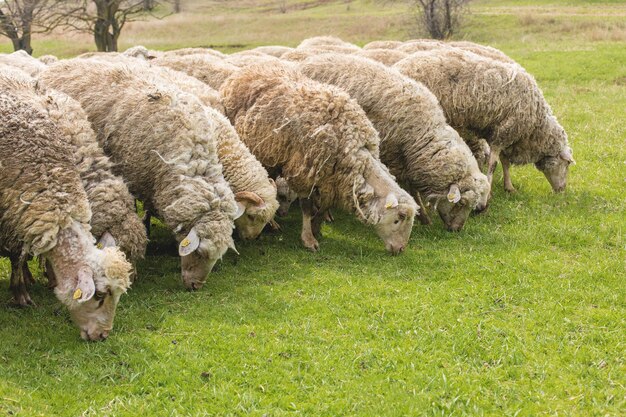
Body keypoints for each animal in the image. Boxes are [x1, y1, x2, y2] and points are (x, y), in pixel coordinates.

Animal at [0, 69, 132, 342]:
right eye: (100, 295)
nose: (102, 336)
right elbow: (17, 257)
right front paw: (20, 295)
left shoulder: (20, 216)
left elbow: (21, 255)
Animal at [217, 63, 416, 254]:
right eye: (399, 219)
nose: (400, 249)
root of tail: (244, 71)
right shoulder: (305, 174)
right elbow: (306, 207)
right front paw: (308, 239)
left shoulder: (332, 181)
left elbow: (324, 206)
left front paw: (317, 228)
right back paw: (272, 223)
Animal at [294, 53, 490, 229]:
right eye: (461, 203)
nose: (456, 229)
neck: (424, 133)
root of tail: (307, 61)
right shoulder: (395, 156)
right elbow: (411, 189)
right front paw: (424, 216)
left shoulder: (408, 161)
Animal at [392, 49, 572, 193]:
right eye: (567, 164)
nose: (562, 190)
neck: (536, 127)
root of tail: (397, 67)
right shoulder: (503, 133)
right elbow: (493, 165)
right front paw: (489, 191)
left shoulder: (502, 133)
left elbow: (505, 162)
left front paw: (509, 187)